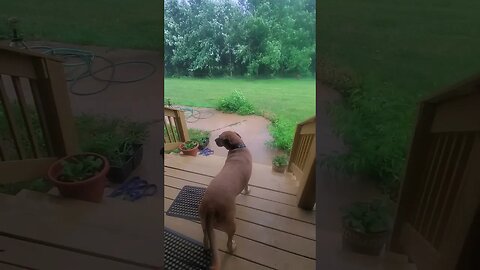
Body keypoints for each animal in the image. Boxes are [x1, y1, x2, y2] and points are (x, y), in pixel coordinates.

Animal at [199, 130, 253, 268]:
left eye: (220, 138)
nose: (215, 140)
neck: (237, 148)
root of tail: (210, 208)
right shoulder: (247, 180)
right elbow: (246, 187)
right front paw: (247, 191)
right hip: (231, 225)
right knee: (228, 243)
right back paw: (233, 247)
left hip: (203, 223)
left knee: (205, 238)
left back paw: (206, 246)